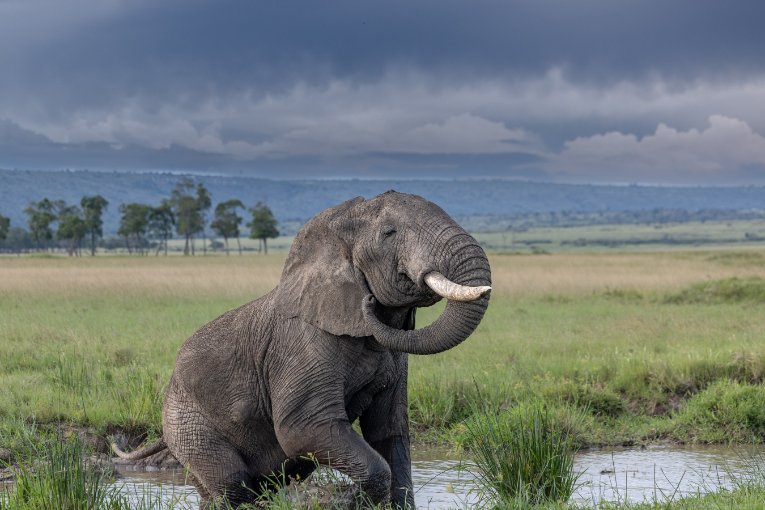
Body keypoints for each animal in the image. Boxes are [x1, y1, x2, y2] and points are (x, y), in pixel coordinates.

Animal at [110, 189, 492, 508]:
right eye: (389, 233)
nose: (370, 301)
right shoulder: (301, 345)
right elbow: (303, 428)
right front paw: (347, 499)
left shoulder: (395, 356)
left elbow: (389, 432)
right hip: (188, 423)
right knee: (231, 484)